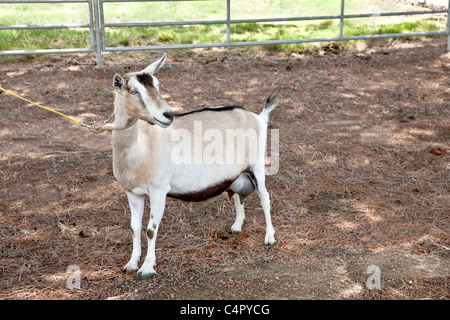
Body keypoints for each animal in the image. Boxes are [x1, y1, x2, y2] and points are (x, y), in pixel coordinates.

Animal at [110, 53, 278, 278]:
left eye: (157, 84)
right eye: (133, 90)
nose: (168, 115)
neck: (140, 147)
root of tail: (258, 117)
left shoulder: (159, 190)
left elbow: (151, 229)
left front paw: (147, 267)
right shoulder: (132, 192)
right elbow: (134, 227)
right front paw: (131, 263)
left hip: (257, 166)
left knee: (265, 198)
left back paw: (269, 237)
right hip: (237, 172)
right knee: (237, 195)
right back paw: (236, 225)